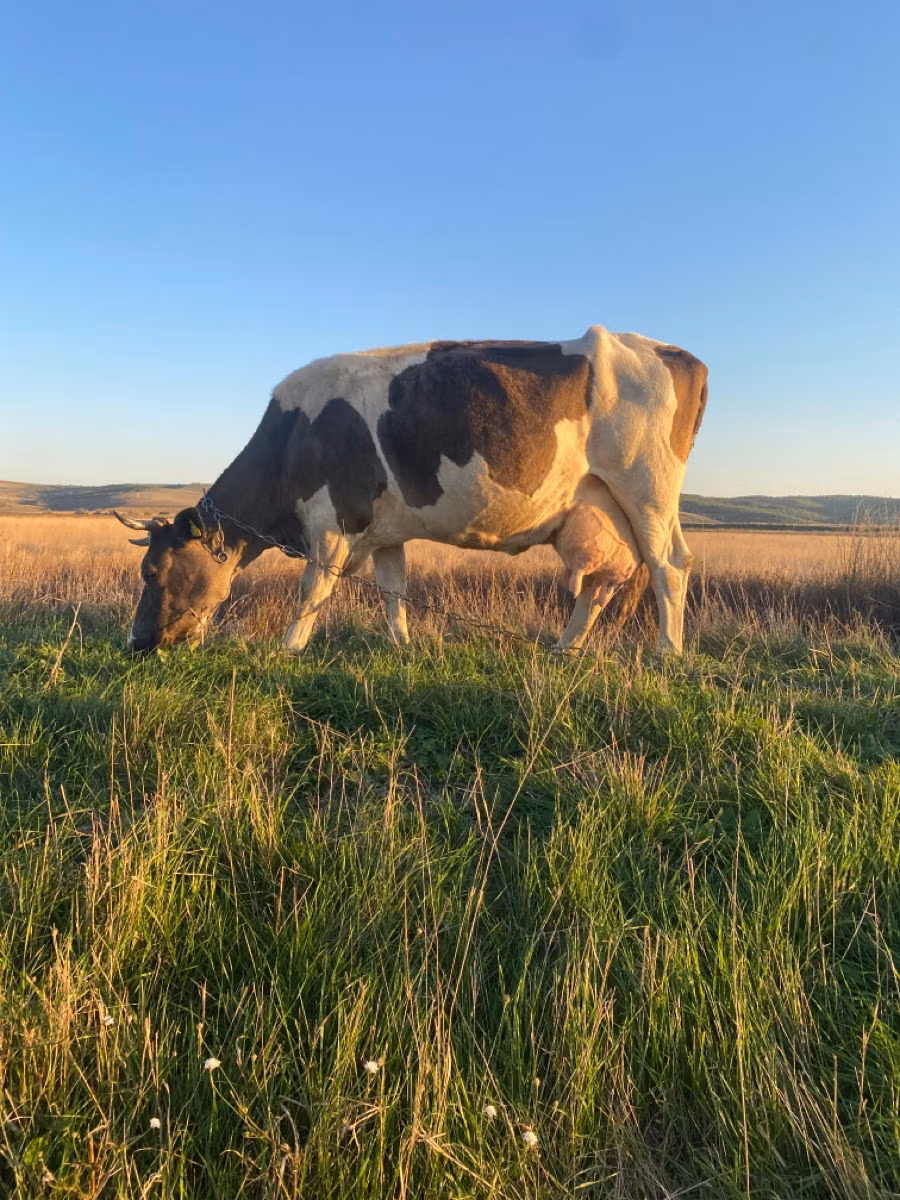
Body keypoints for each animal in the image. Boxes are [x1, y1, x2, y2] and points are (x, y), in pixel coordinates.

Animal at [116, 326, 707, 654]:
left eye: (152, 572)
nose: (136, 643)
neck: (291, 437)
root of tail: (676, 352)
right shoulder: (385, 532)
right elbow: (393, 590)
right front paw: (402, 646)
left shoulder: (332, 523)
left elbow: (313, 590)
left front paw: (287, 649)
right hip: (600, 509)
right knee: (603, 584)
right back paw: (565, 649)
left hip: (647, 491)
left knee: (669, 566)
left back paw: (667, 654)